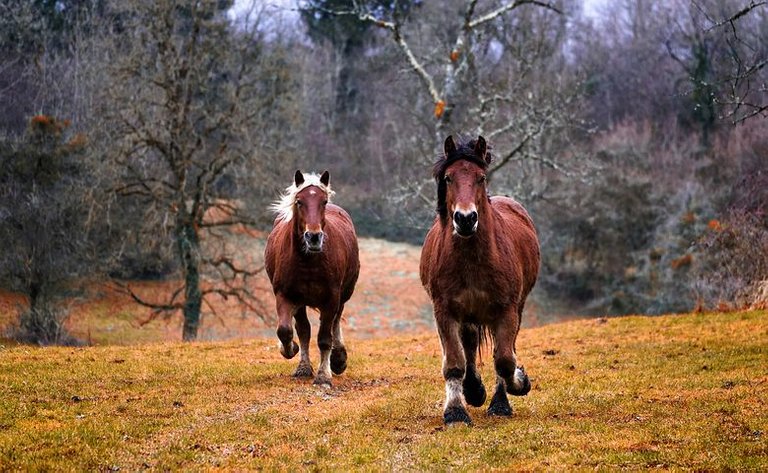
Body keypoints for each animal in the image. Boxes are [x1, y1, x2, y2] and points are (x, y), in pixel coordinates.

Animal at [264, 170, 360, 388]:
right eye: (299, 201)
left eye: (323, 201)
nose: (314, 237)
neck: (308, 261)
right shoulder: (286, 296)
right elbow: (287, 331)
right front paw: (291, 351)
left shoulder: (331, 298)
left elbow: (324, 338)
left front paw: (324, 375)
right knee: (304, 329)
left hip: (343, 294)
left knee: (335, 322)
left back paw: (338, 359)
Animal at [420, 134, 540, 424]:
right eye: (448, 178)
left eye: (481, 177)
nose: (465, 219)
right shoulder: (445, 311)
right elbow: (455, 362)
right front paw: (455, 411)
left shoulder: (507, 310)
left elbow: (505, 360)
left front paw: (517, 386)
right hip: (468, 315)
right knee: (470, 345)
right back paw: (473, 390)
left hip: (515, 309)